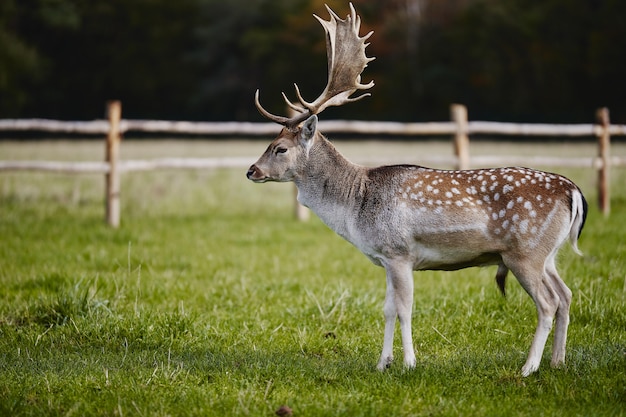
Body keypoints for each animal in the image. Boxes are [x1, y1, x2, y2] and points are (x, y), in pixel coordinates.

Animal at [247, 3, 584, 376]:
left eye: (280, 148)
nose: (251, 170)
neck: (355, 204)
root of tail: (573, 192)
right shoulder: (384, 257)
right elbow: (387, 309)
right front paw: (383, 362)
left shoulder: (399, 251)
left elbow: (405, 308)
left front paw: (409, 363)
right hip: (548, 254)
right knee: (566, 295)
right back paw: (558, 361)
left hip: (525, 252)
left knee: (548, 302)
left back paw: (529, 367)